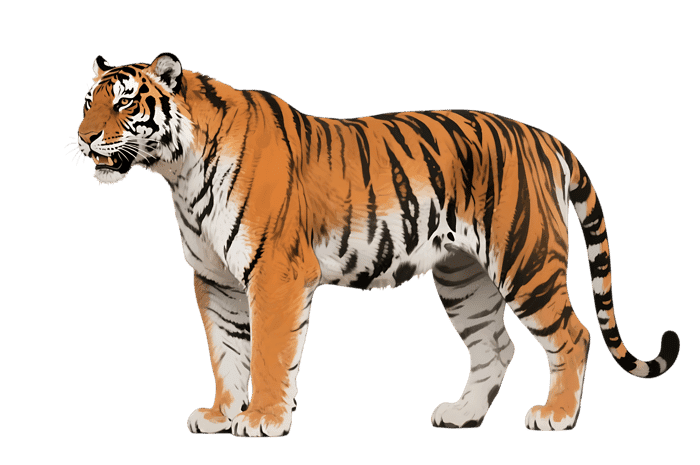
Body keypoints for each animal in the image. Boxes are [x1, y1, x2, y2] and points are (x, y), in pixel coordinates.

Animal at [70, 52, 680, 437]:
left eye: (125, 104)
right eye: (87, 103)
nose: (83, 137)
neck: (181, 174)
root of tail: (542, 135)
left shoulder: (276, 273)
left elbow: (267, 351)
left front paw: (262, 419)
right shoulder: (214, 283)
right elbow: (226, 353)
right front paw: (221, 414)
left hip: (525, 260)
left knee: (573, 335)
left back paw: (556, 415)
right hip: (464, 279)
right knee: (495, 347)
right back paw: (462, 415)